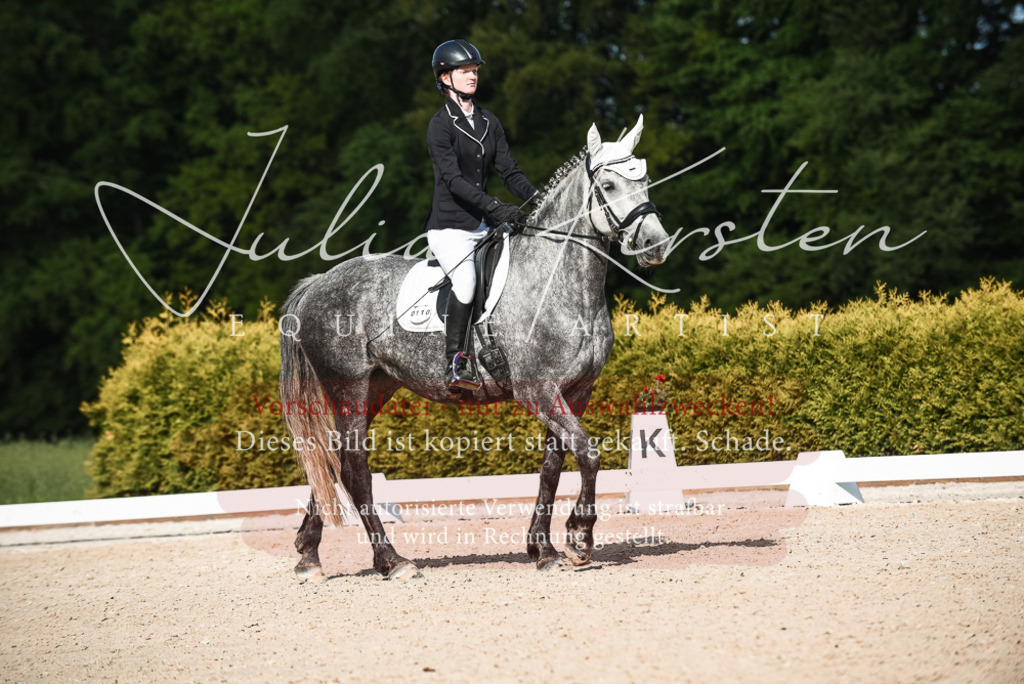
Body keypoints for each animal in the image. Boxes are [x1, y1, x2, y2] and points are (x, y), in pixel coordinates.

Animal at [279, 115, 669, 579]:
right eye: (608, 185)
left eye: (645, 180)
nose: (656, 245)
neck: (557, 281)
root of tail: (317, 283)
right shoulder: (538, 391)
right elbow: (588, 454)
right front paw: (578, 538)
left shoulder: (575, 392)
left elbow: (553, 467)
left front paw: (543, 549)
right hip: (349, 388)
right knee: (355, 469)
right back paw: (392, 561)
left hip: (376, 388)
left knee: (333, 462)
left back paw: (308, 554)